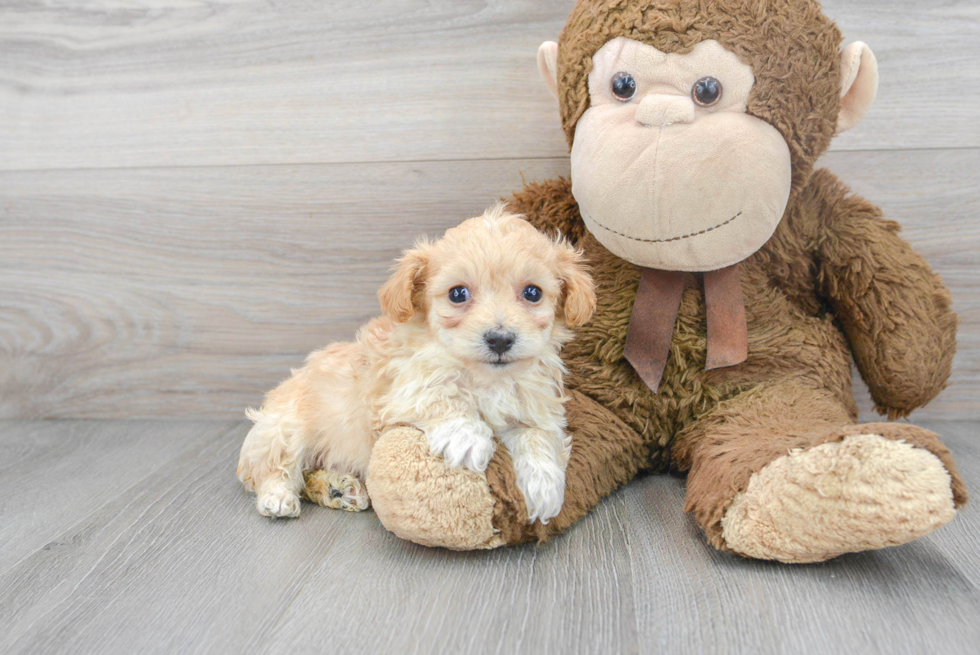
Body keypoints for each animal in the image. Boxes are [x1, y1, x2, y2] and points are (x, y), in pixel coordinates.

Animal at [237, 208, 592, 524]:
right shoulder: (395, 394)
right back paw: (278, 496)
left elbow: (539, 437)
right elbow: (437, 392)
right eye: (458, 294)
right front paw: (466, 437)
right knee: (274, 468)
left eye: (532, 292)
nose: (500, 339)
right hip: (284, 427)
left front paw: (544, 485)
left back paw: (340, 489)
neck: (486, 379)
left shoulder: (534, 407)